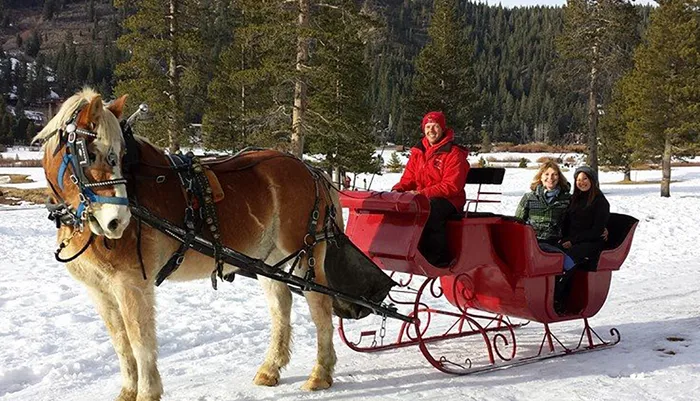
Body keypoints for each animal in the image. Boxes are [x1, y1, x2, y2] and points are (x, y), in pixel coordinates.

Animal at [34, 90, 344, 400]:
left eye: (121, 155)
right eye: (92, 153)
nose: (117, 221)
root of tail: (310, 169)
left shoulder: (131, 283)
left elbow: (140, 341)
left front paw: (147, 392)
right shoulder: (98, 289)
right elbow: (121, 342)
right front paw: (127, 390)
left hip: (304, 254)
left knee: (320, 306)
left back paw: (320, 373)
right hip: (269, 260)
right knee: (281, 306)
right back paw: (271, 368)